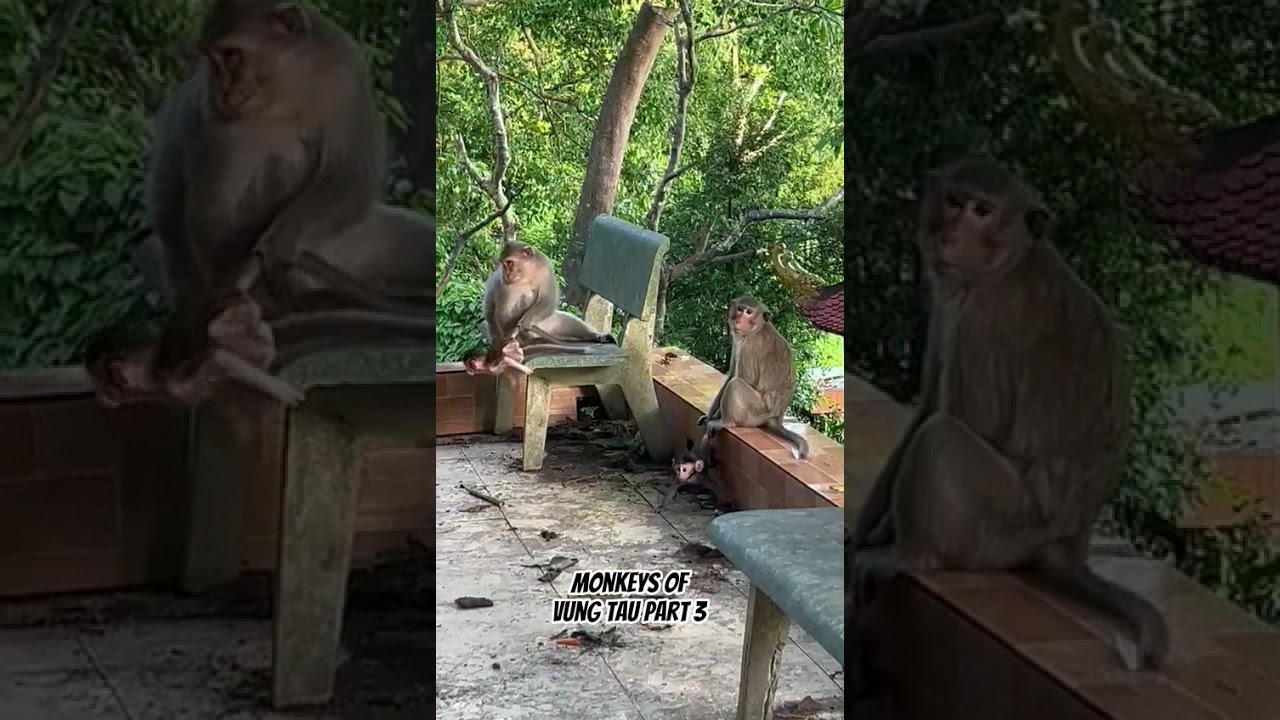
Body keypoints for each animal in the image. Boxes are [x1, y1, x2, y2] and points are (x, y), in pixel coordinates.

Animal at [481, 242, 615, 365]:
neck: (527, 273)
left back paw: (597, 336)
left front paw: (524, 322)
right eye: (503, 264)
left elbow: (548, 300)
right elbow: (503, 311)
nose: (507, 273)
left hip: (545, 324)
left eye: (509, 263)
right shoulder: (505, 284)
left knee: (565, 320)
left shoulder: (545, 267)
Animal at [696, 298, 810, 460]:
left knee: (736, 385)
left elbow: (743, 378)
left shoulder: (749, 346)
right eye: (740, 309)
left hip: (756, 411)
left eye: (749, 312)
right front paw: (709, 415)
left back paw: (726, 422)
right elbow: (731, 375)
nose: (738, 319)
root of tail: (777, 417)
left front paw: (716, 417)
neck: (757, 329)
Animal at [847, 158, 1169, 673]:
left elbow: (965, 419)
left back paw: (912, 556)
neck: (1011, 262)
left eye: (982, 210)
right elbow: (925, 409)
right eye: (954, 201)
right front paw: (861, 534)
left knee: (943, 439)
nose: (951, 234)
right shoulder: (950, 306)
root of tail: (1066, 545)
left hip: (1005, 524)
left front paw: (879, 539)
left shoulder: (983, 319)